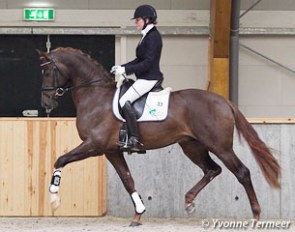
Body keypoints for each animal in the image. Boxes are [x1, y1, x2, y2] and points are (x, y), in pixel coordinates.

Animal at [37, 47, 282, 227]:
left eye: (48, 72)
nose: (46, 104)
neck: (95, 95)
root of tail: (224, 101)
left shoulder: (94, 145)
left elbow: (60, 159)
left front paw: (54, 198)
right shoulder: (111, 150)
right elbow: (128, 180)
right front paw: (138, 214)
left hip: (220, 147)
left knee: (242, 172)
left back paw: (255, 216)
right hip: (192, 146)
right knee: (212, 169)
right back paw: (189, 201)